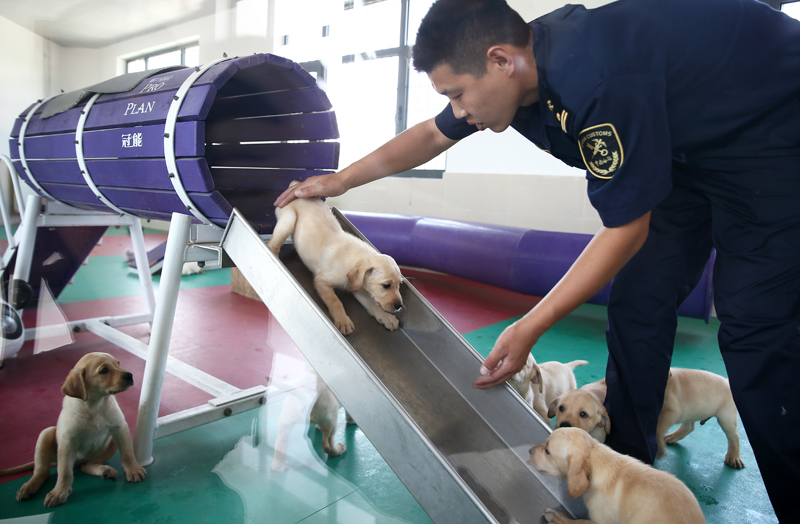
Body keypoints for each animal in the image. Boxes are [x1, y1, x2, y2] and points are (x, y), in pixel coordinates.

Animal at [0, 354, 146, 506]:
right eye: (104, 370)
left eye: (118, 363)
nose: (130, 375)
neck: (95, 405)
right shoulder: (67, 442)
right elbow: (64, 472)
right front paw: (59, 492)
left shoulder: (120, 428)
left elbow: (128, 453)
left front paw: (133, 469)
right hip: (46, 434)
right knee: (42, 472)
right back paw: (29, 486)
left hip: (110, 444)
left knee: (87, 465)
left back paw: (104, 471)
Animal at [270, 181, 406, 336]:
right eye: (386, 285)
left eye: (399, 285)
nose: (399, 305)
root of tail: (295, 185)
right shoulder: (321, 281)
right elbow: (335, 301)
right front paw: (343, 320)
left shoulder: (359, 289)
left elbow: (373, 305)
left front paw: (386, 317)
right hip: (289, 219)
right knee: (273, 242)